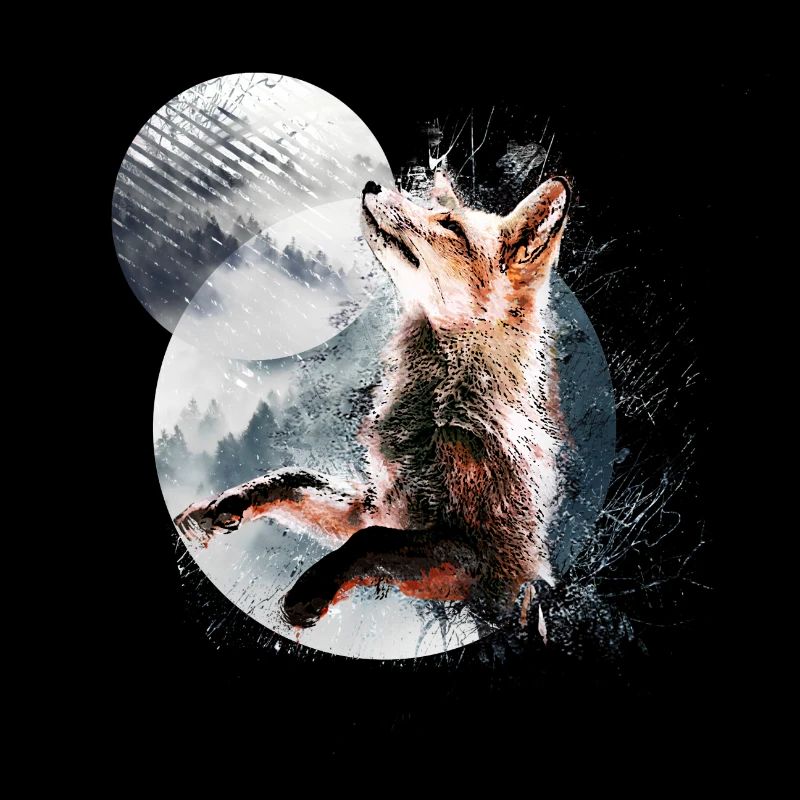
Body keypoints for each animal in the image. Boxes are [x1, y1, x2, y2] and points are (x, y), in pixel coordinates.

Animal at [174, 171, 572, 633]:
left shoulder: (478, 559)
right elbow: (295, 478)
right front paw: (223, 506)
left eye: (451, 226)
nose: (373, 184)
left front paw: (310, 592)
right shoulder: (376, 507)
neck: (441, 413)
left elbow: (370, 542)